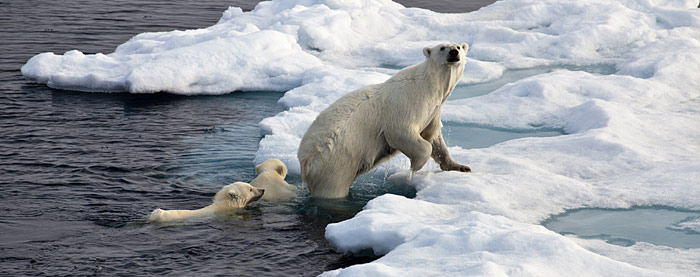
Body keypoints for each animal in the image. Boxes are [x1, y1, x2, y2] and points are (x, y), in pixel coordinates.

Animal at [298, 42, 474, 197]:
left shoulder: (433, 111)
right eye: (443, 47)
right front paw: (415, 167)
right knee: (332, 189)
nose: (454, 52)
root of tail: (306, 162)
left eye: (459, 46)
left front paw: (460, 167)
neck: (429, 87)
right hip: (334, 163)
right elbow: (403, 133)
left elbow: (434, 137)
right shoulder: (406, 105)